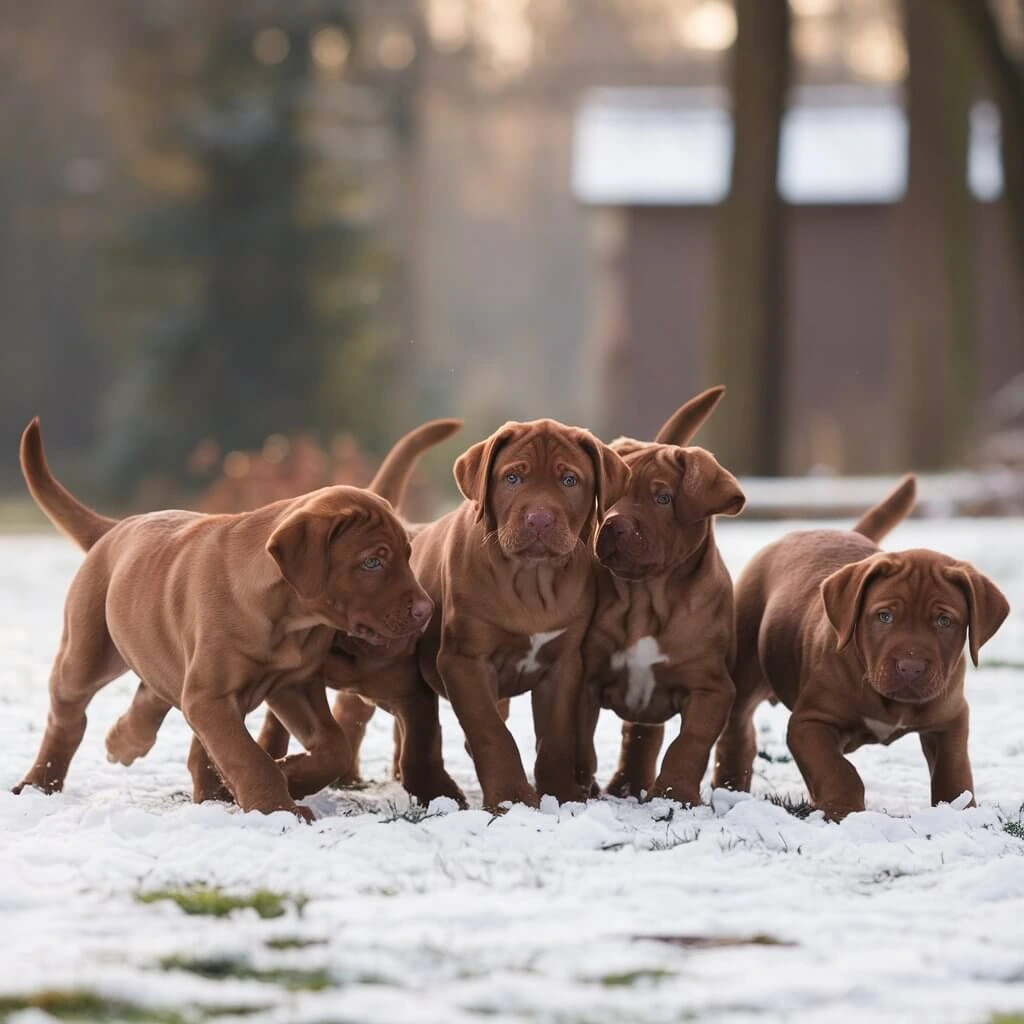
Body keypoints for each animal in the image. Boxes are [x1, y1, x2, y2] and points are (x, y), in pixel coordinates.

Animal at [16, 419, 432, 819]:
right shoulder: (210, 698)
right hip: (87, 653)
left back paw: (128, 743)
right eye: (372, 562)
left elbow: (333, 748)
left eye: (407, 555)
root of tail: (114, 528)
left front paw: (290, 774)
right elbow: (247, 758)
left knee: (155, 698)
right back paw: (40, 782)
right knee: (67, 717)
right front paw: (277, 808)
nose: (426, 610)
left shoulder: (293, 685)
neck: (288, 621)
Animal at [407, 415, 630, 806]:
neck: (530, 580)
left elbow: (557, 736)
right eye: (512, 478)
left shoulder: (564, 663)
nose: (539, 519)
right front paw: (511, 798)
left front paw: (561, 794)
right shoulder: (464, 660)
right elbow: (491, 732)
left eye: (569, 480)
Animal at [581, 387, 749, 802]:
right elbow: (577, 738)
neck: (646, 599)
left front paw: (676, 794)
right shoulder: (584, 677)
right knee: (638, 734)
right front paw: (578, 785)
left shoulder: (711, 688)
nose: (613, 525)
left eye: (663, 499)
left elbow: (689, 744)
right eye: (610, 496)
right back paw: (624, 785)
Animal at [712, 475, 1007, 819]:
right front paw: (844, 810)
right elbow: (839, 771)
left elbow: (954, 769)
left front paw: (958, 810)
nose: (911, 667)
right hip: (745, 665)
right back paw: (730, 787)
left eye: (944, 621)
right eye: (885, 616)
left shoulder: (950, 719)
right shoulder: (810, 723)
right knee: (737, 728)